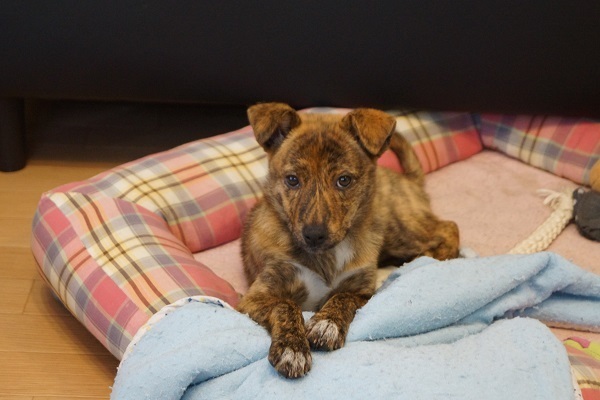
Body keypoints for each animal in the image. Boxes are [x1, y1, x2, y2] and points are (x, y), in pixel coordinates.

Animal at [236, 103, 459, 378]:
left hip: (399, 229)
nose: (314, 234)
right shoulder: (254, 297)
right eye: (292, 179)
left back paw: (438, 259)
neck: (325, 257)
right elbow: (285, 305)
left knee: (449, 227)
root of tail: (407, 180)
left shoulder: (364, 292)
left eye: (344, 180)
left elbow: (343, 297)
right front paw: (293, 349)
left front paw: (326, 324)